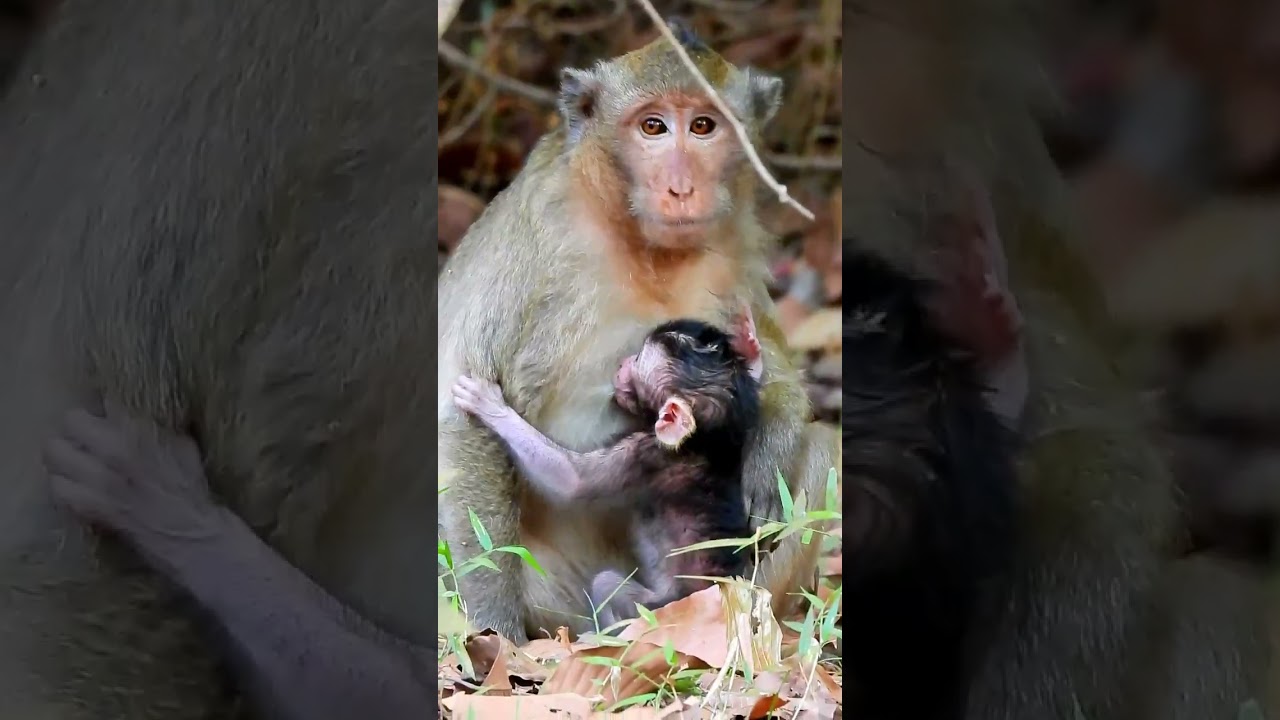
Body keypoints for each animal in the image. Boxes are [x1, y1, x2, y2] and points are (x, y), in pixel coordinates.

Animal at [451, 310, 765, 629]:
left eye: (638, 359)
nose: (624, 362)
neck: (706, 441)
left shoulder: (647, 454)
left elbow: (573, 481)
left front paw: (491, 406)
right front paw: (750, 345)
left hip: (666, 606)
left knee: (607, 584)